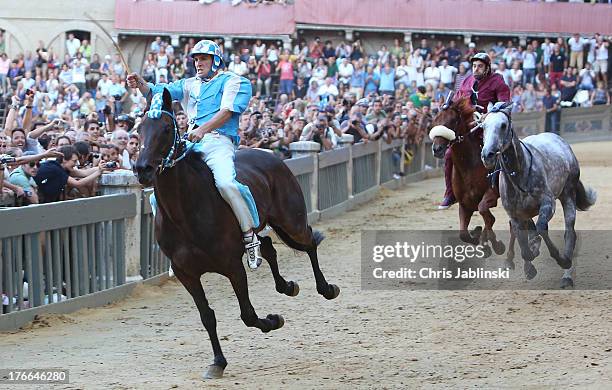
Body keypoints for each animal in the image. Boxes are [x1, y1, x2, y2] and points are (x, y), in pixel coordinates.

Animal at [133, 87, 340, 378]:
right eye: (139, 129)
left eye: (165, 128)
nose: (142, 169)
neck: (185, 211)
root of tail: (271, 155)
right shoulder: (187, 273)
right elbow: (207, 316)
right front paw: (218, 362)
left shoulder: (232, 266)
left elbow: (248, 314)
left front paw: (273, 321)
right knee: (267, 245)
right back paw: (286, 285)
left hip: (291, 220)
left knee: (309, 241)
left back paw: (326, 288)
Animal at [428, 96, 504, 256]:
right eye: (435, 120)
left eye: (453, 121)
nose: (437, 149)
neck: (469, 166)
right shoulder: (464, 204)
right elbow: (463, 233)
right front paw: (477, 236)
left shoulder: (491, 194)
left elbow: (487, 215)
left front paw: (496, 245)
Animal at [480, 102, 596, 288]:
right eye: (483, 126)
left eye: (503, 125)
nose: (487, 155)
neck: (520, 173)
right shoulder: (515, 215)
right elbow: (524, 244)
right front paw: (529, 264)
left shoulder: (548, 204)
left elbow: (541, 228)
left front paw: (560, 258)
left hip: (568, 194)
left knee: (569, 233)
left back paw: (567, 274)